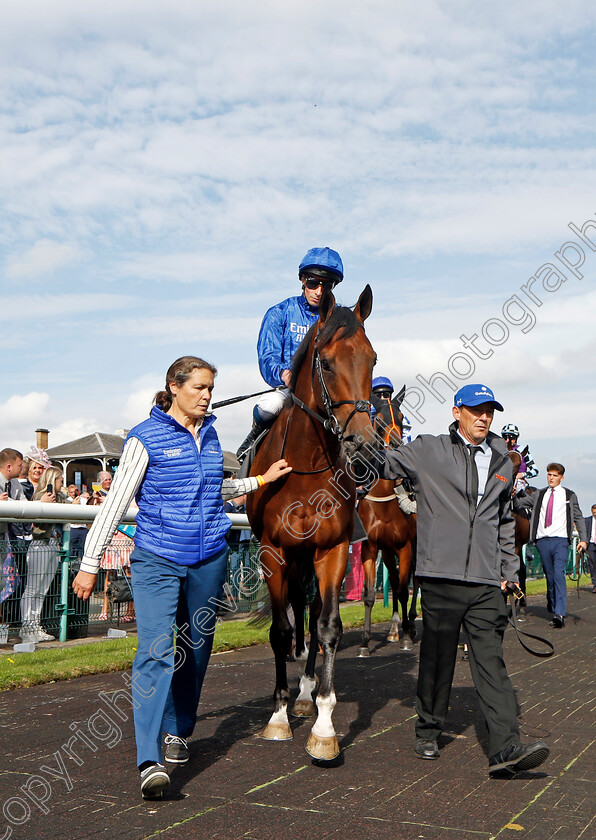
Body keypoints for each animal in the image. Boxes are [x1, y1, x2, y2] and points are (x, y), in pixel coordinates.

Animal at [244, 284, 374, 760]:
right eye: (328, 362)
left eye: (372, 359)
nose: (362, 442)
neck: (303, 466)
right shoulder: (273, 551)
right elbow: (281, 631)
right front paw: (279, 716)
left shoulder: (332, 548)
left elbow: (329, 626)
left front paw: (323, 725)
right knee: (296, 612)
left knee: (313, 612)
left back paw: (306, 693)